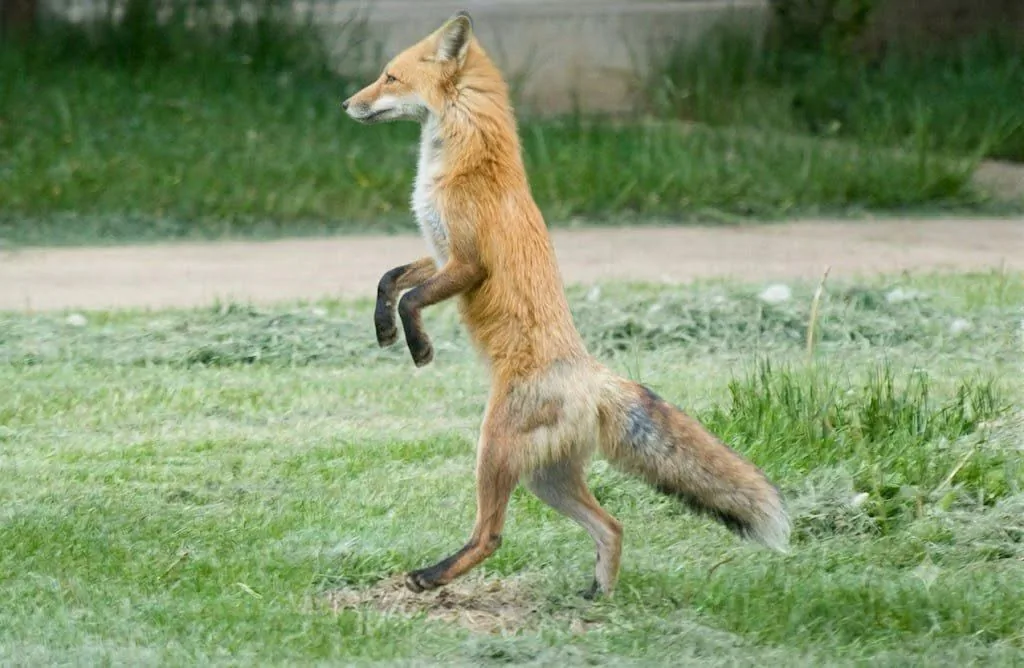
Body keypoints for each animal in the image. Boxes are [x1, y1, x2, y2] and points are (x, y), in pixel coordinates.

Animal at [341, 10, 790, 598]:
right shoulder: (440, 254)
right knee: (612, 526)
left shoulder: (468, 263)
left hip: (495, 452)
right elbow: (388, 280)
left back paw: (433, 575)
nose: (346, 104)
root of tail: (594, 376)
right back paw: (598, 595)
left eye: (389, 78)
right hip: (545, 478)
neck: (467, 157)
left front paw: (419, 347)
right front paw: (385, 330)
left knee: (491, 536)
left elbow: (412, 296)